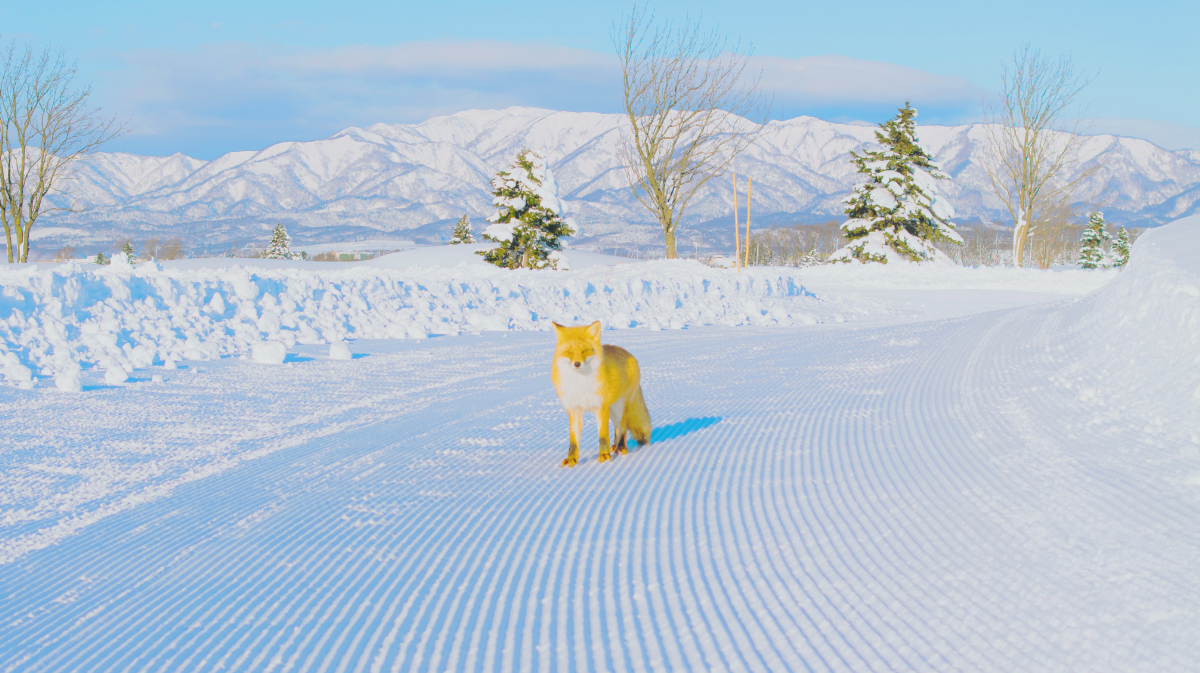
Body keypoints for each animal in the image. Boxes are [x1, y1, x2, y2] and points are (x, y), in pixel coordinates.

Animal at [549, 319, 652, 467]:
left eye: (585, 350)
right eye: (569, 352)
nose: (577, 364)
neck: (581, 384)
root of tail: (630, 355)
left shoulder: (601, 407)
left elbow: (603, 436)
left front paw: (604, 456)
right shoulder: (574, 410)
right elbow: (573, 441)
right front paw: (572, 459)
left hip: (618, 407)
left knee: (622, 427)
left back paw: (621, 448)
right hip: (612, 409)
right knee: (617, 428)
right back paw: (615, 447)